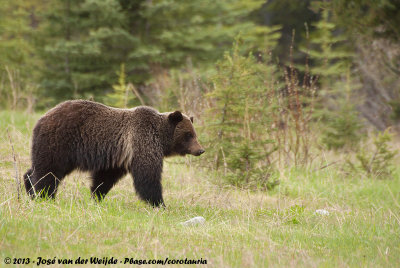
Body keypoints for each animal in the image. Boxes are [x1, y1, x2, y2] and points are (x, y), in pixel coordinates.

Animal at [22, 100, 203, 207]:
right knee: (48, 171)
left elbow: (105, 178)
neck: (160, 136)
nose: (200, 150)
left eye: (194, 133)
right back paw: (44, 195)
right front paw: (159, 203)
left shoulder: (119, 157)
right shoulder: (142, 142)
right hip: (60, 143)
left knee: (39, 168)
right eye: (189, 135)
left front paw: (97, 195)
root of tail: (42, 117)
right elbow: (148, 176)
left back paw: (29, 187)